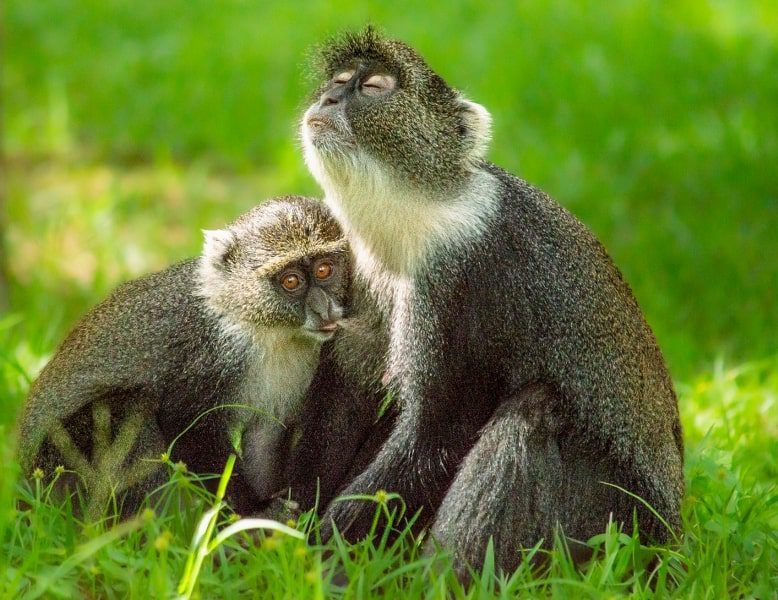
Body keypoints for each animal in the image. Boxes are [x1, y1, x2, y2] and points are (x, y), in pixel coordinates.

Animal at [17, 196, 348, 516]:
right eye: (291, 281)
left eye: (324, 270)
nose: (324, 309)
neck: (266, 327)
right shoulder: (211, 355)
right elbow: (189, 427)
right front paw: (251, 511)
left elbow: (264, 437)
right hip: (56, 462)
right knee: (126, 408)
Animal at [288, 29, 684, 576]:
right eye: (339, 81)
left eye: (371, 88)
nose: (328, 99)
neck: (415, 214)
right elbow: (346, 401)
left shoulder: (466, 276)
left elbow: (437, 433)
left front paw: (313, 559)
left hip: (614, 527)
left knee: (534, 409)